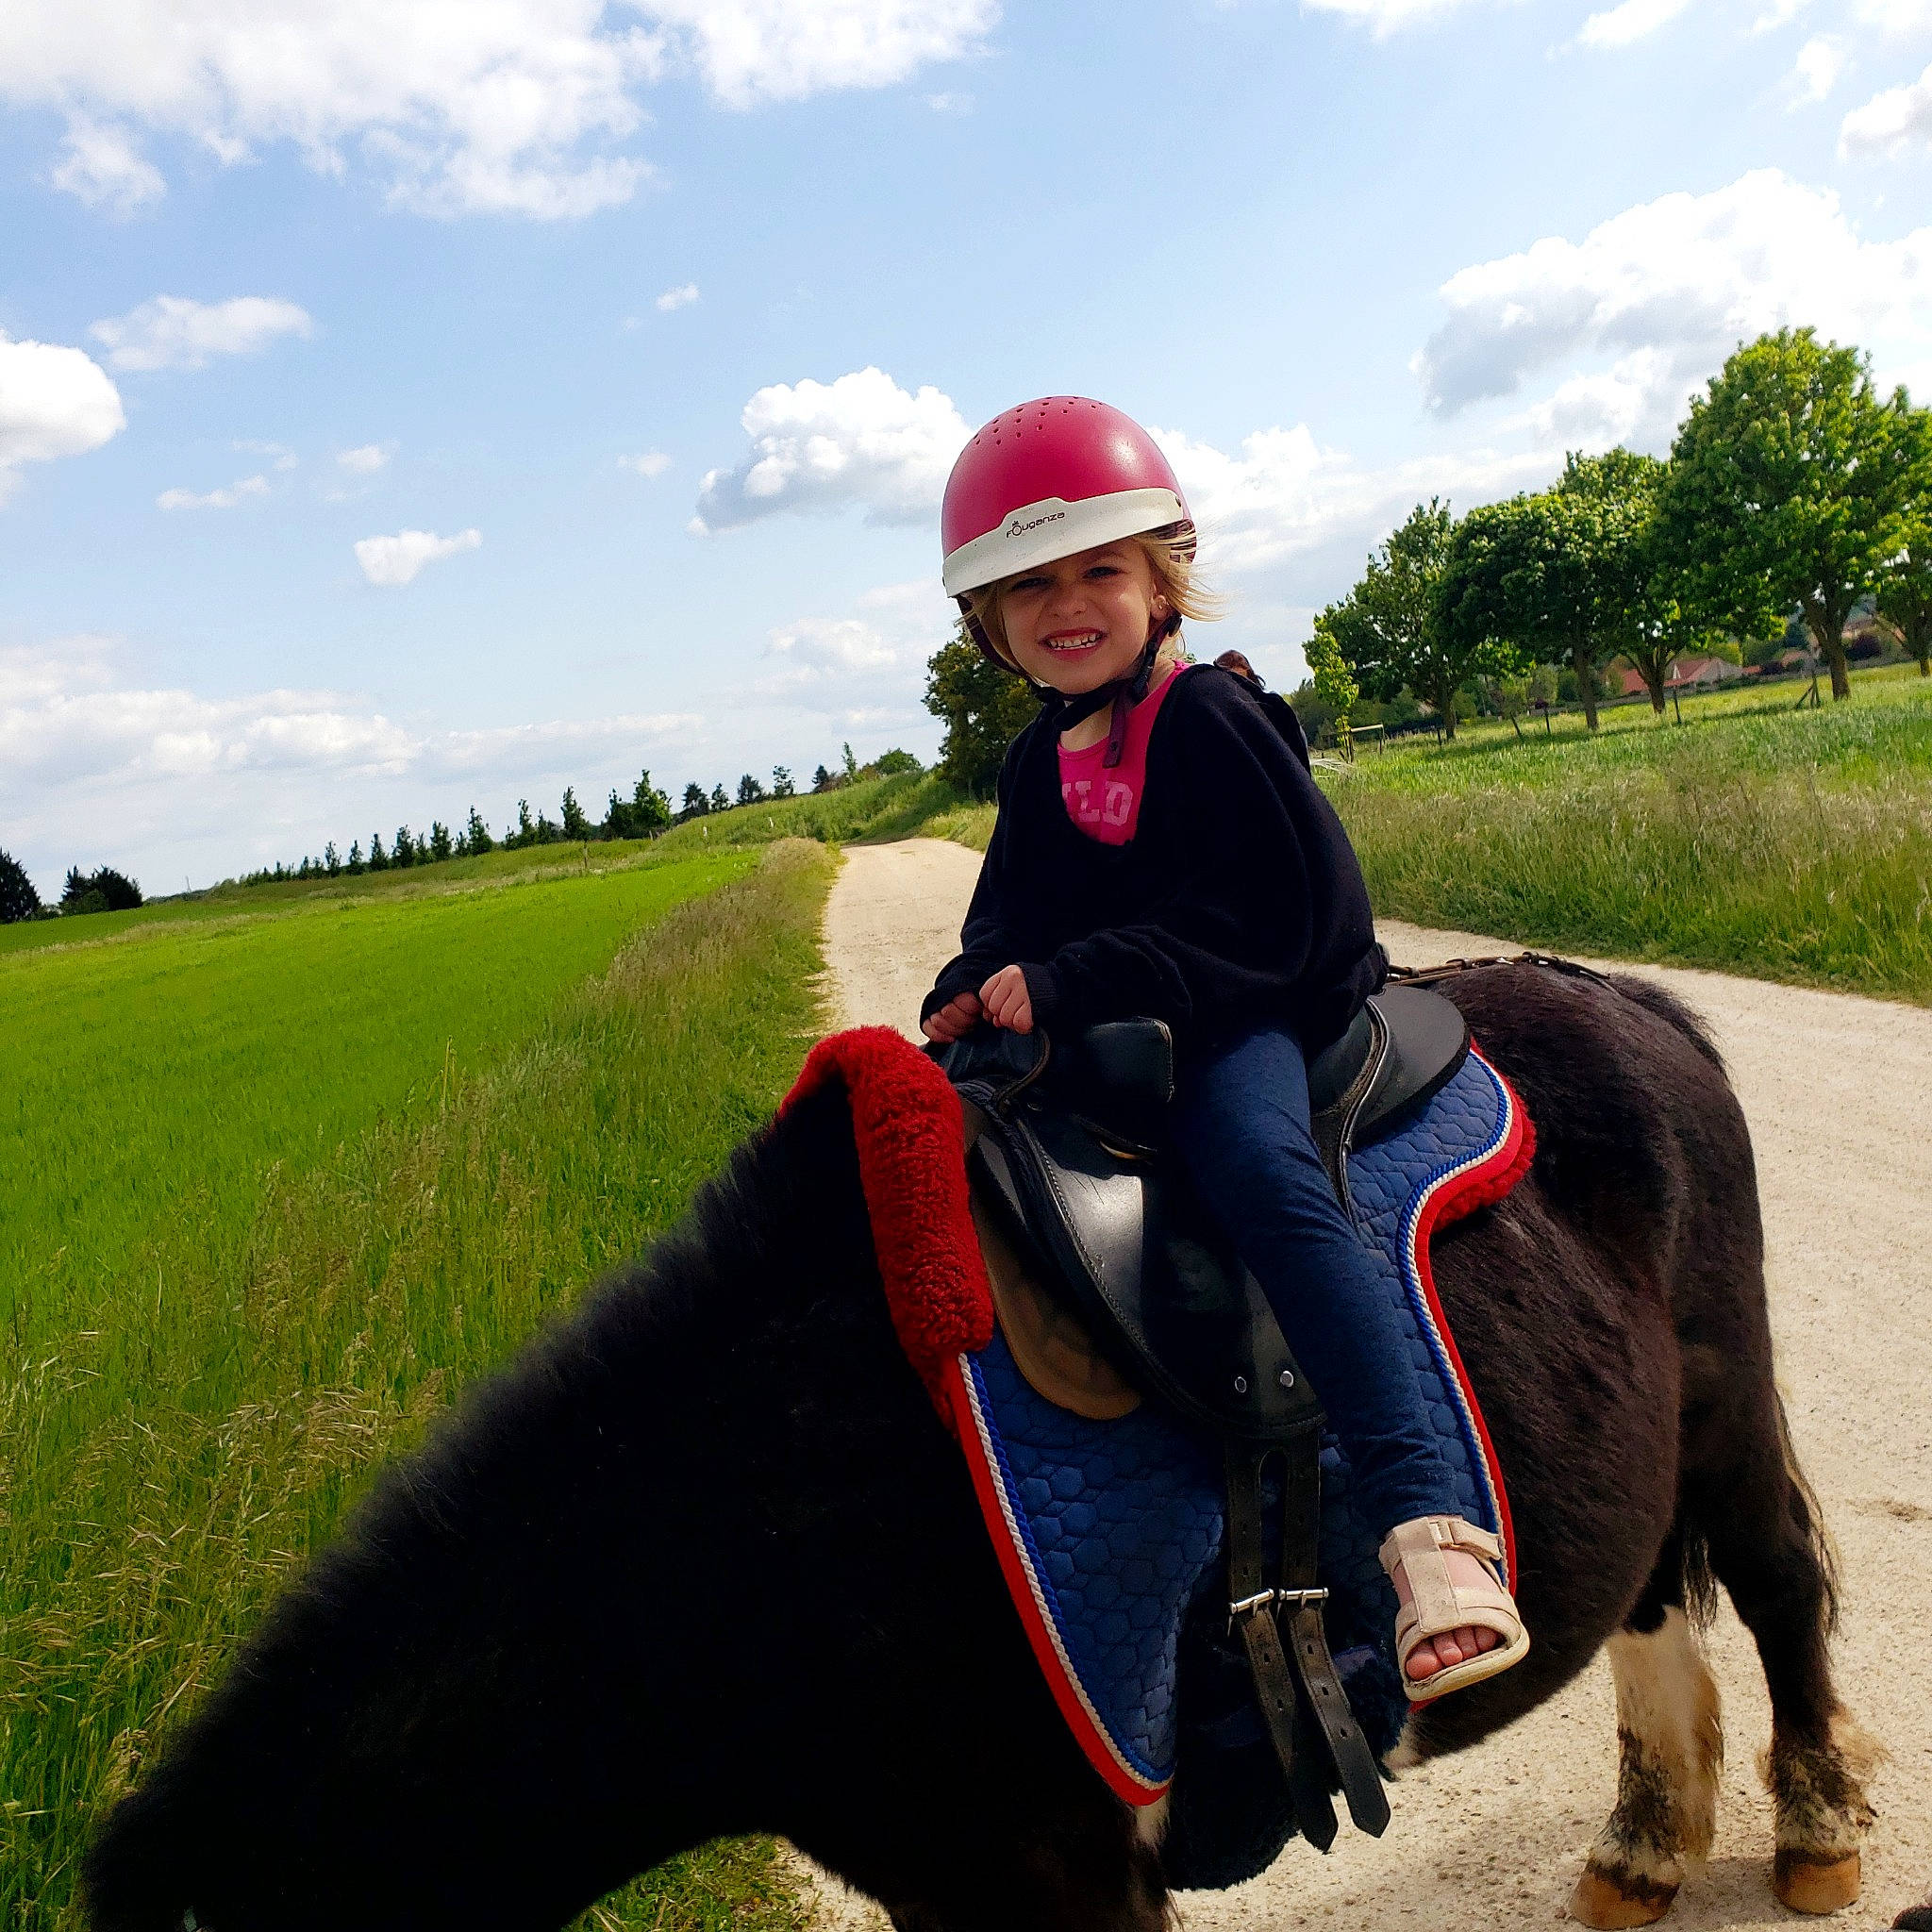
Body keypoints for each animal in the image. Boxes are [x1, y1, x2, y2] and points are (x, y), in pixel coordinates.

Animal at [80, 962, 1879, 1932]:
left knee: (1777, 1578)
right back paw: (1642, 1846)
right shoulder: (945, 1879)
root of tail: (1626, 1000)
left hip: (1725, 1404)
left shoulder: (1062, 1869)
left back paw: (1813, 1833)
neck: (760, 1522)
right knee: (1649, 1594)